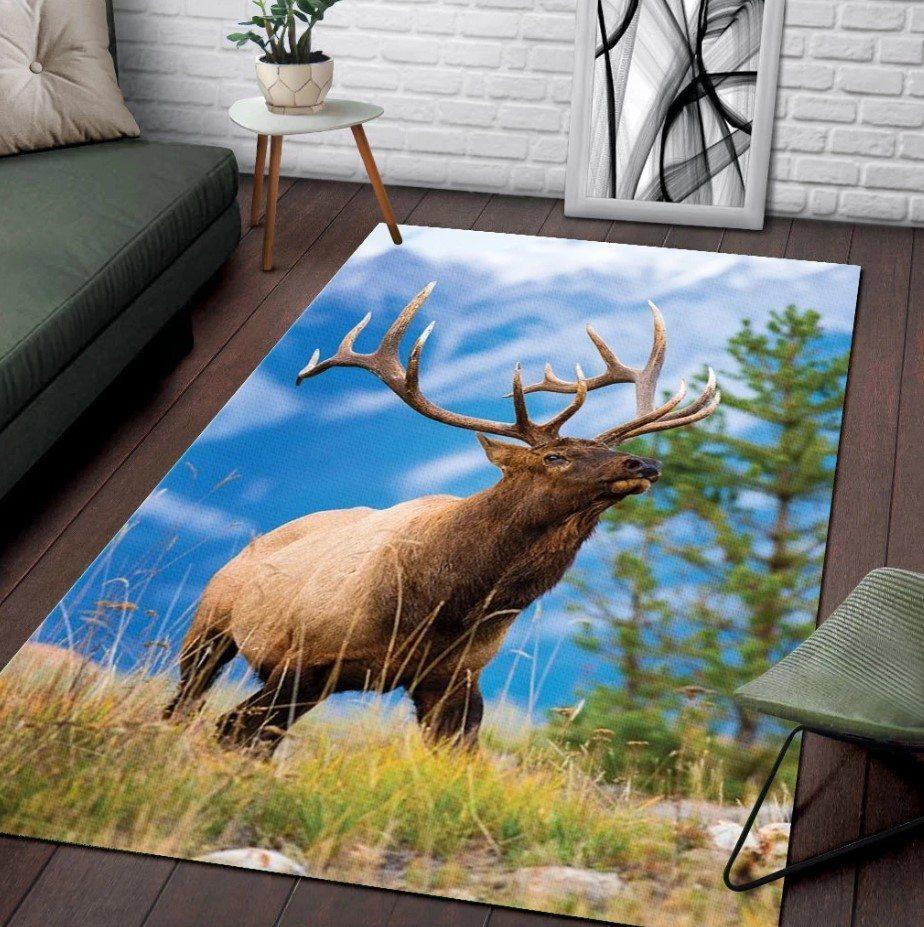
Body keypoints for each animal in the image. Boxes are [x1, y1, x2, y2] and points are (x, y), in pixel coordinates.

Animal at [164, 282, 720, 754]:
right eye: (554, 457)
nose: (642, 464)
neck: (443, 604)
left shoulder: (454, 679)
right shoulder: (304, 660)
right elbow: (235, 730)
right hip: (210, 627)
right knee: (194, 710)